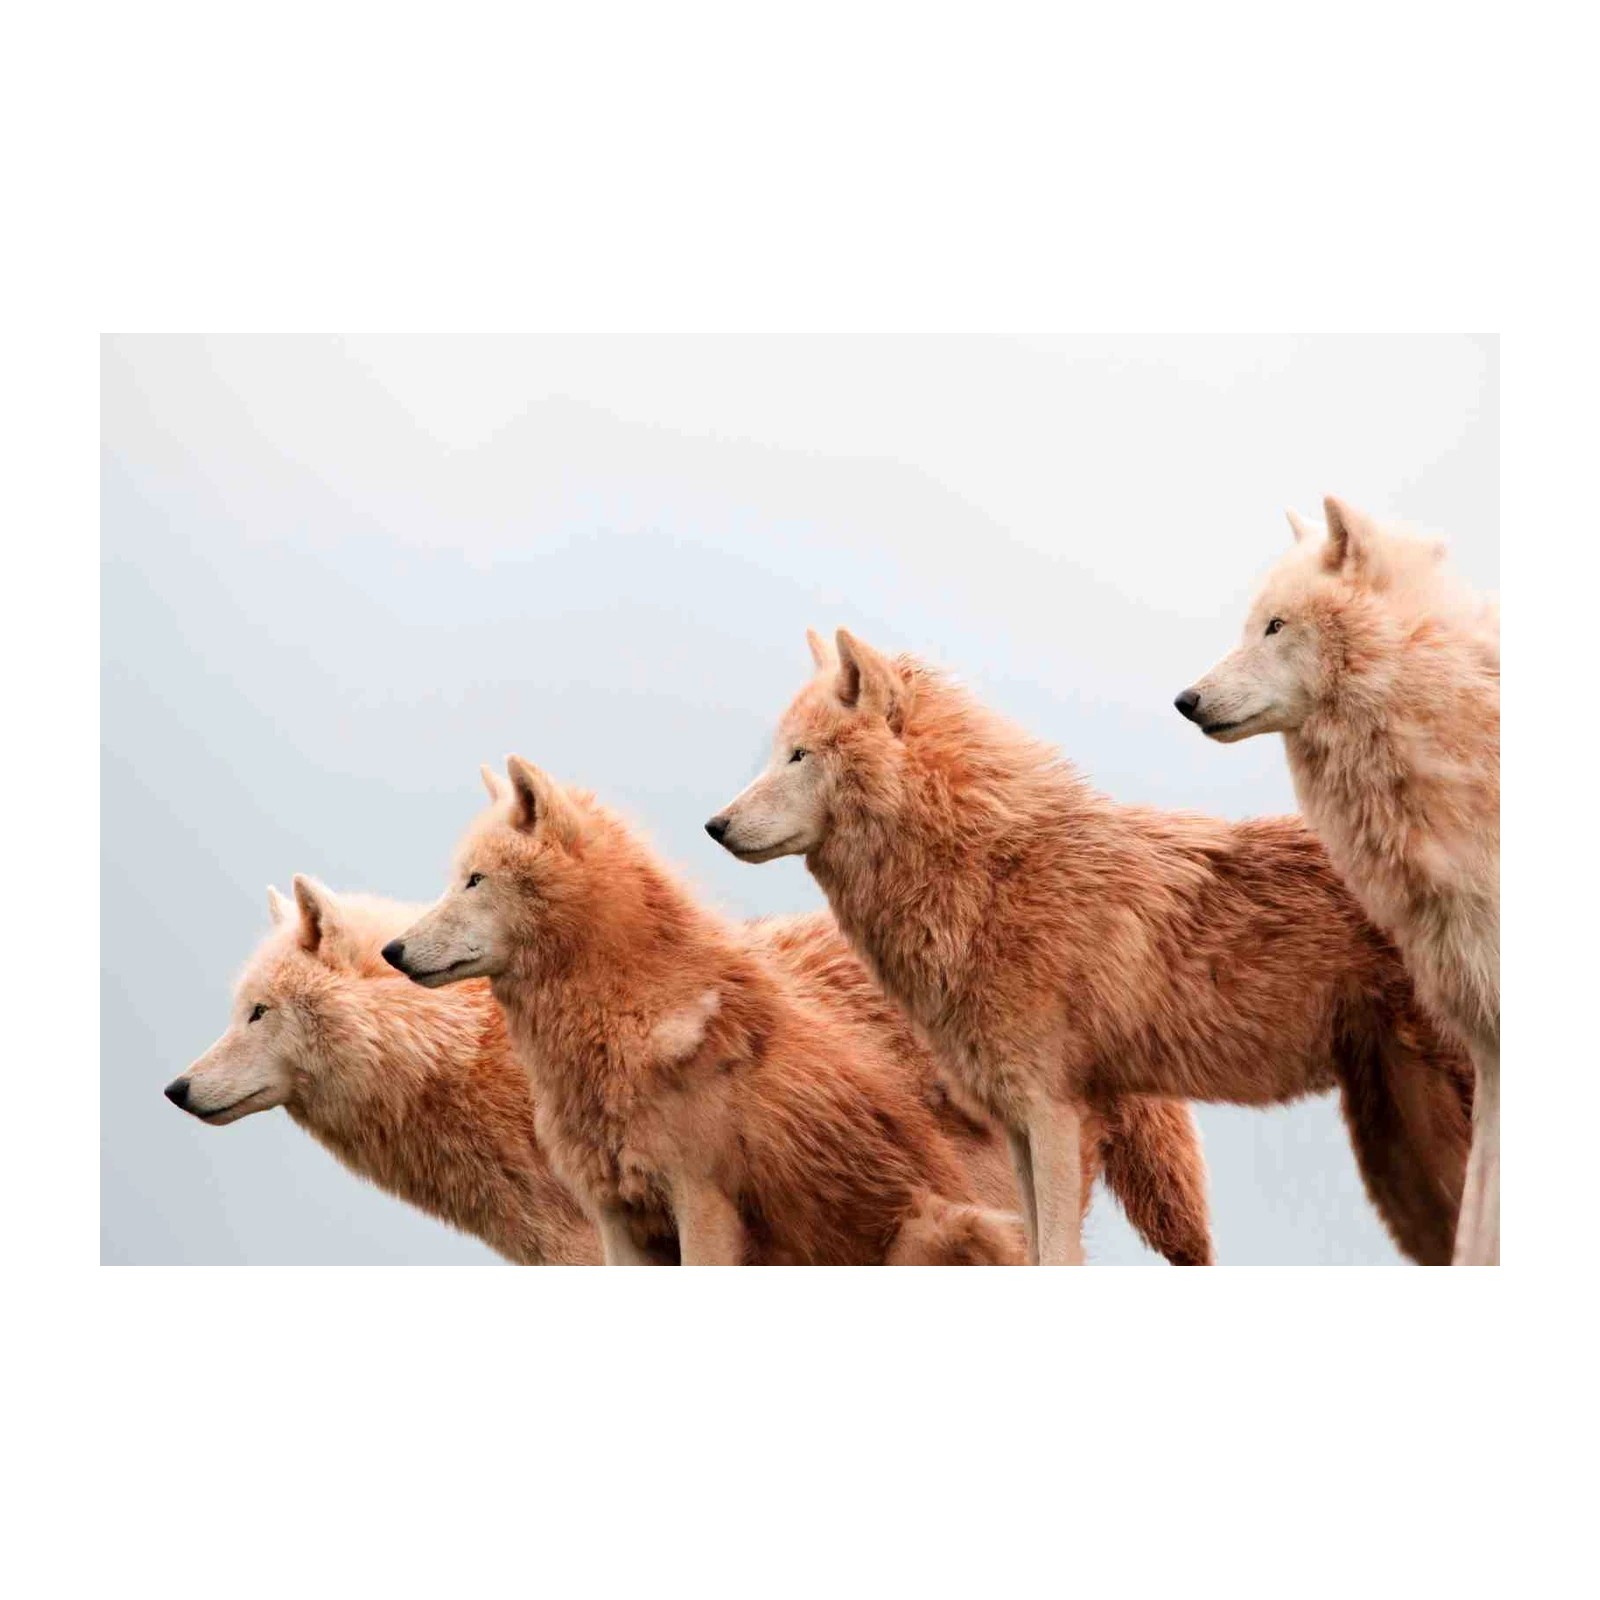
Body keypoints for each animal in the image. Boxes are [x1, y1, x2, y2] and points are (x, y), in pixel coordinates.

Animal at [382, 762, 1215, 1268]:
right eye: (454, 880)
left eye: (475, 881)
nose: (392, 949)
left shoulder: (704, 1206)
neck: (631, 1021)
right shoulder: (620, 1224)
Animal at [707, 627, 1477, 1268]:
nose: (714, 826)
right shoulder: (1018, 1128)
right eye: (778, 754)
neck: (991, 876)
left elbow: (1055, 1254)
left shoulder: (1056, 1116)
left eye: (800, 756)